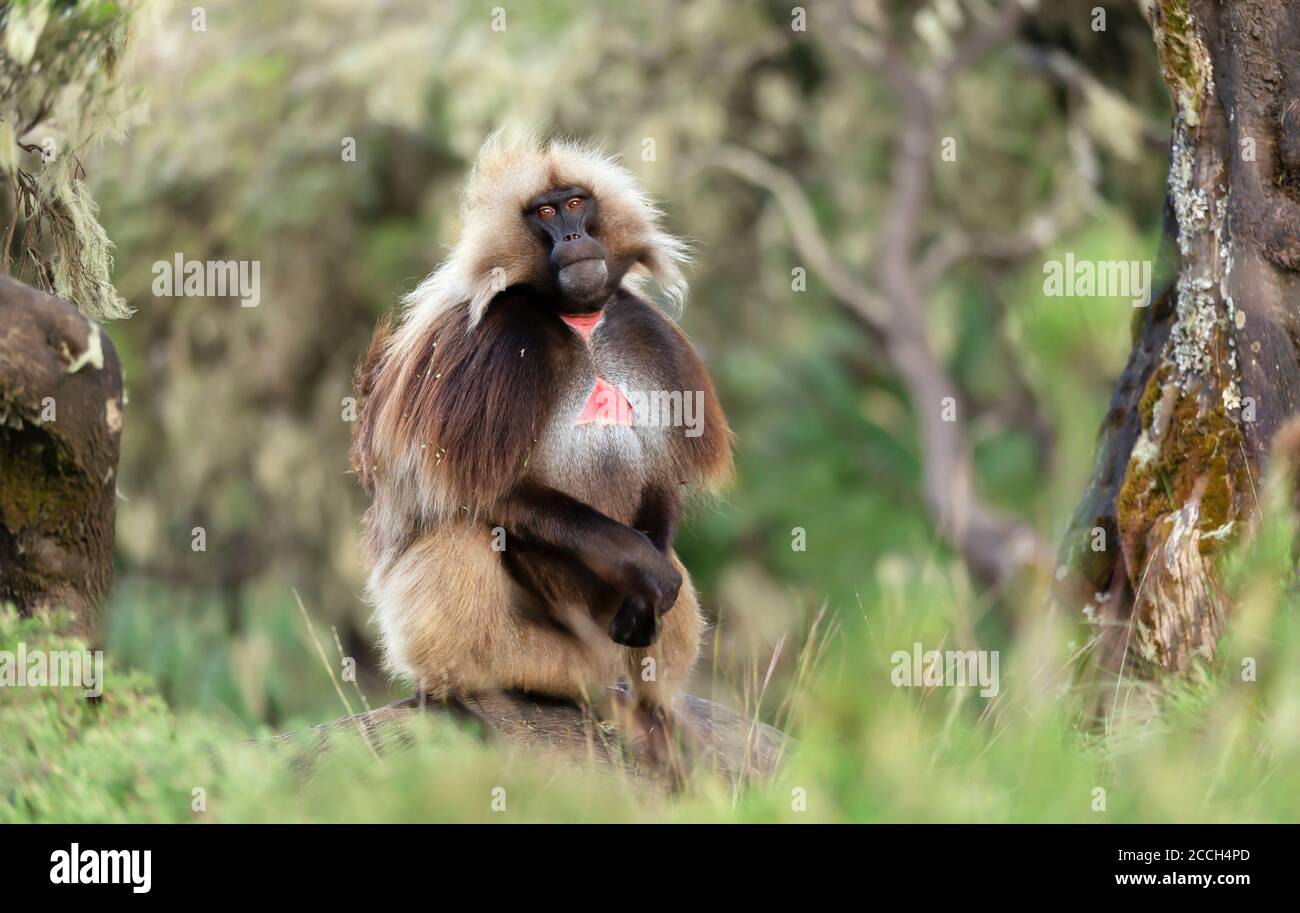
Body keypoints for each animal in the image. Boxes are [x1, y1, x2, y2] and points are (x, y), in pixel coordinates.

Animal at [350, 134, 732, 760]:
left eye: (576, 203)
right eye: (545, 213)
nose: (574, 238)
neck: (578, 319)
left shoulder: (648, 338)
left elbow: (659, 481)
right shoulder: (485, 349)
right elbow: (490, 494)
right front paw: (642, 569)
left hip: (588, 656)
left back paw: (656, 717)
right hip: (528, 650)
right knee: (460, 533)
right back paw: (446, 694)